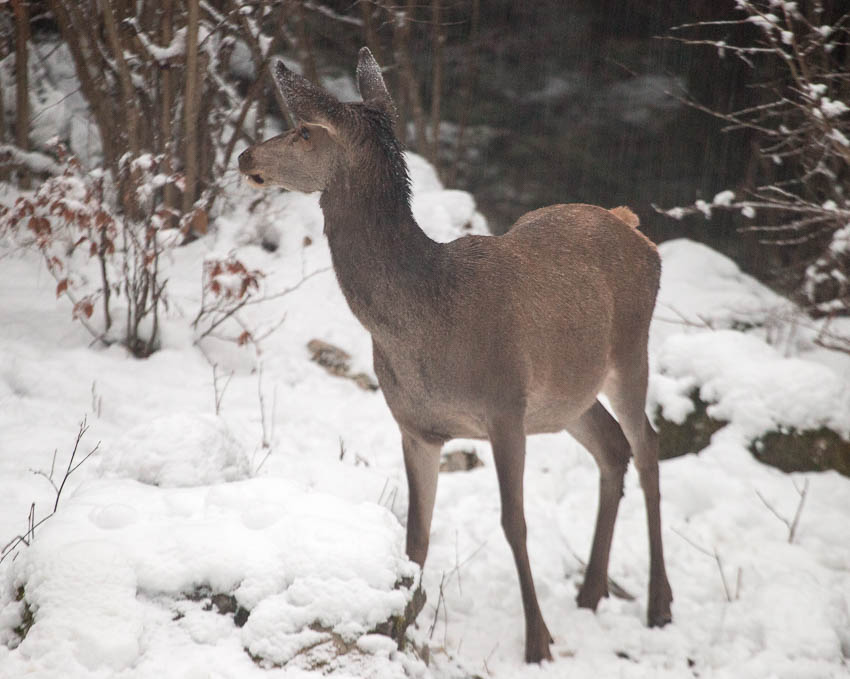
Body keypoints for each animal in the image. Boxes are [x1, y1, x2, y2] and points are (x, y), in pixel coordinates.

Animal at [237, 47, 668, 664]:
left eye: (303, 131)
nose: (246, 154)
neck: (425, 320)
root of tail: (634, 227)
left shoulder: (505, 407)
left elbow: (515, 522)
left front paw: (537, 642)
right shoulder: (415, 424)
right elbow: (416, 535)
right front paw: (400, 627)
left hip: (630, 351)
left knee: (648, 445)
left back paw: (658, 604)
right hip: (565, 396)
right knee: (613, 449)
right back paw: (590, 593)